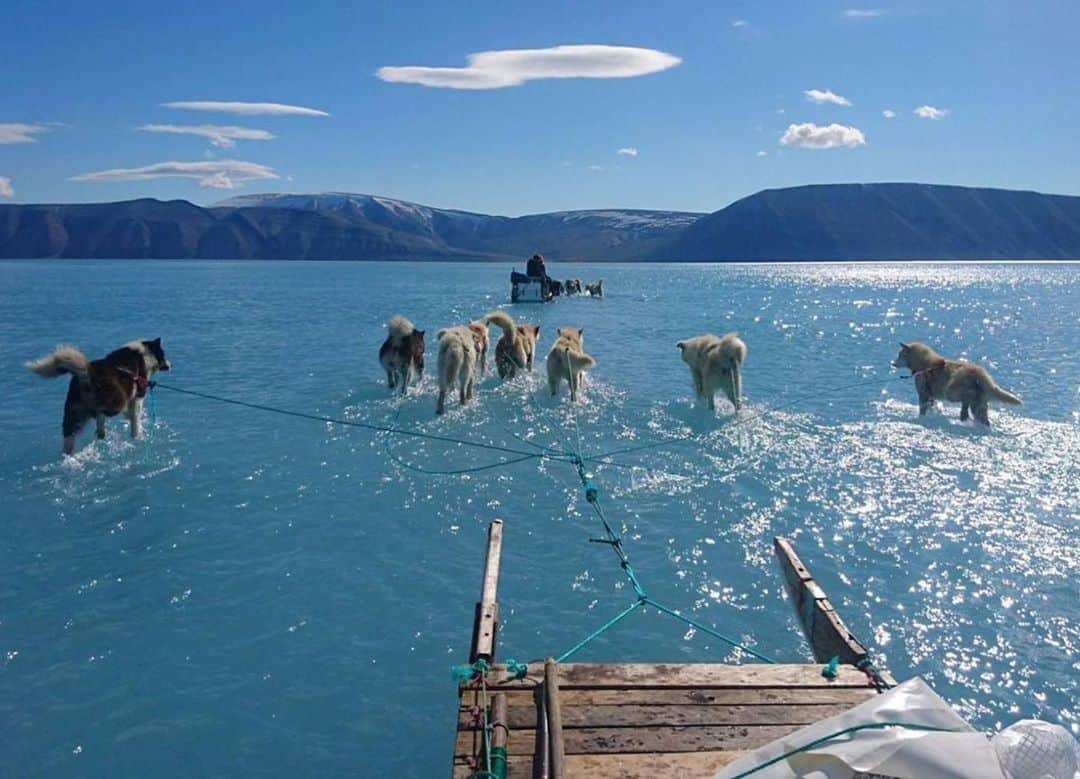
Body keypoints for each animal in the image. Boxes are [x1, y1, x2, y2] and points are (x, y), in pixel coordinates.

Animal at [25, 334, 170, 455]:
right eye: (163, 354)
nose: (170, 365)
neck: (144, 353)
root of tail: (87, 373)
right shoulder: (138, 394)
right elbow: (135, 416)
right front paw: (136, 433)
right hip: (117, 399)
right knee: (103, 412)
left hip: (73, 412)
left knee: (70, 434)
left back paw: (71, 452)